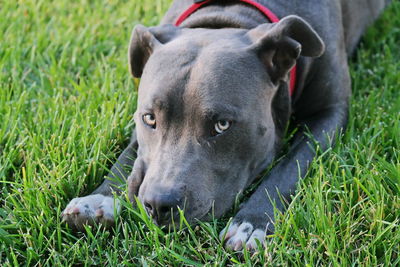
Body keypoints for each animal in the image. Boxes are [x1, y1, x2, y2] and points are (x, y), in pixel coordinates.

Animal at [61, 0, 390, 251]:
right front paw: (99, 198)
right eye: (149, 119)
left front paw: (252, 224)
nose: (158, 204)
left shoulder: (330, 114)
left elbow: (289, 166)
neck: (229, 17)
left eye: (222, 125)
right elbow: (129, 153)